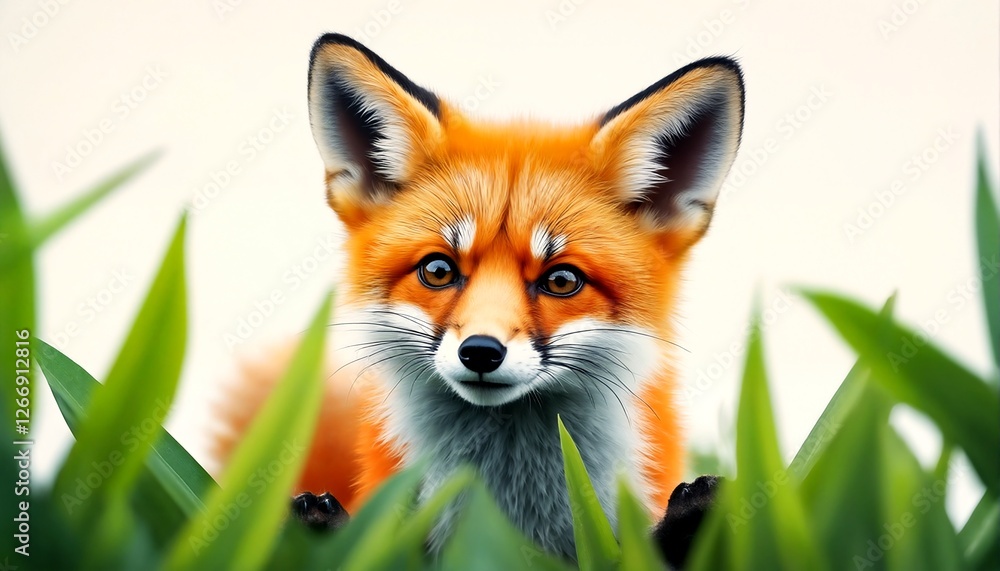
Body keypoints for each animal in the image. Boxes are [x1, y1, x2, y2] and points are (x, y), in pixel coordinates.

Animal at [213, 33, 744, 565]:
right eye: (438, 270)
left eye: (561, 280)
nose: (481, 353)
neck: (504, 512)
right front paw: (322, 534)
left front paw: (692, 524)